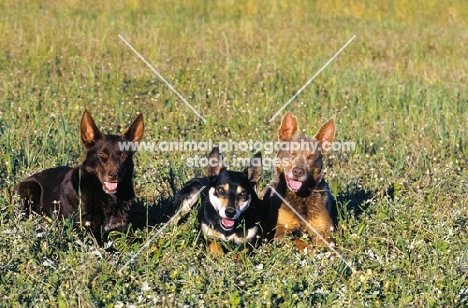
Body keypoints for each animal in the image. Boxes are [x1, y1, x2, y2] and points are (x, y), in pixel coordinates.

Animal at [15, 109, 144, 242]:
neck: (107, 197)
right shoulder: (88, 229)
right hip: (31, 186)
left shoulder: (122, 227)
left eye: (123, 155)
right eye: (102, 154)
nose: (114, 175)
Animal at [264, 112, 336, 254]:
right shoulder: (281, 231)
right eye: (292, 152)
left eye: (311, 157)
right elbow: (297, 240)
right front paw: (310, 250)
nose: (298, 171)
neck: (300, 196)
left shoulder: (323, 229)